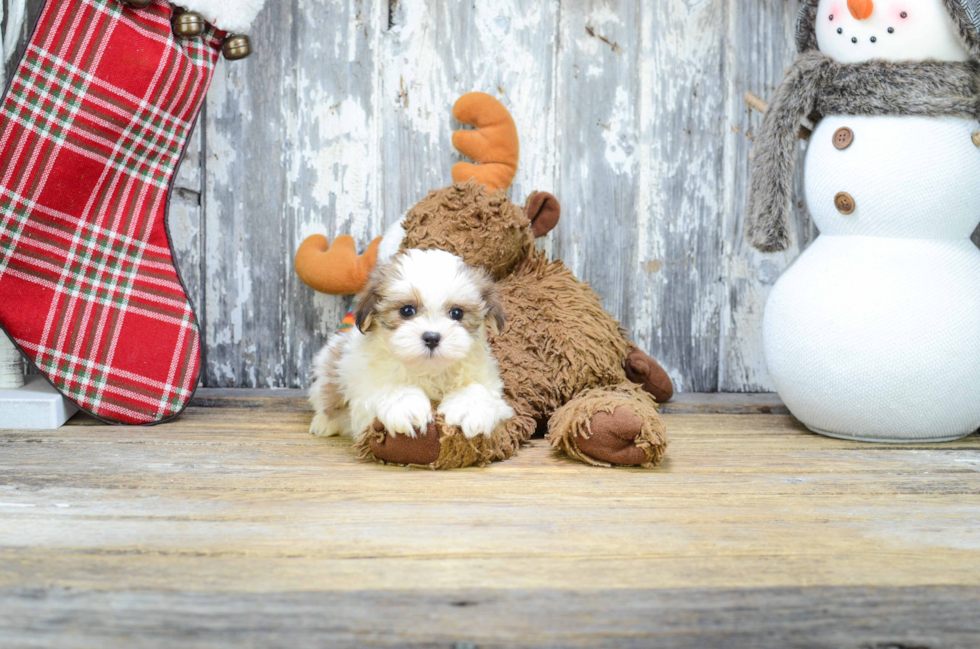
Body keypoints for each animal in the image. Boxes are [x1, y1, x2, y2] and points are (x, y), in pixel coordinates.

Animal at [312, 247, 512, 440]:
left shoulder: (489, 383)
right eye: (407, 310)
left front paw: (467, 409)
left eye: (457, 313)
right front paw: (406, 407)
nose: (432, 337)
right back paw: (323, 423)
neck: (428, 371)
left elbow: (479, 390)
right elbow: (389, 388)